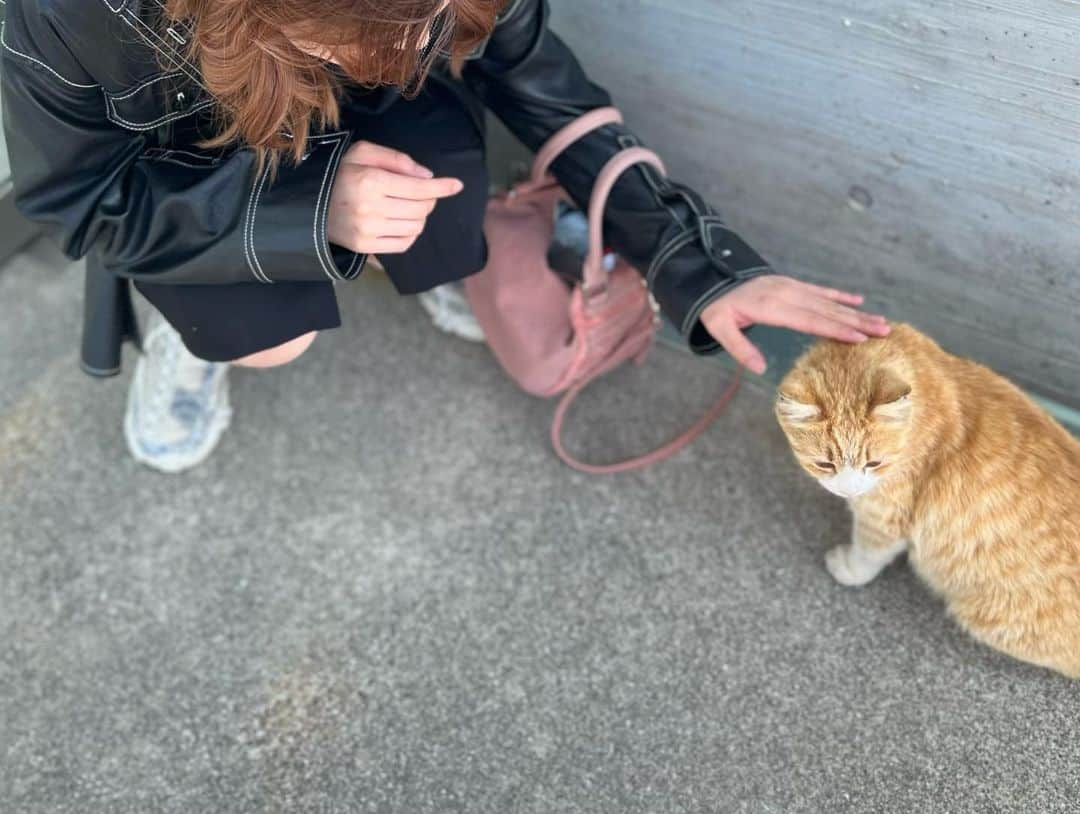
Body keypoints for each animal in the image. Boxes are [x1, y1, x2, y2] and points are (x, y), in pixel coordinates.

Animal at [777, 321, 1080, 673]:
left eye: (874, 464)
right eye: (825, 464)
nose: (849, 490)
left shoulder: (884, 518)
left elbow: (867, 554)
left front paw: (849, 570)